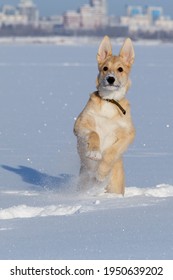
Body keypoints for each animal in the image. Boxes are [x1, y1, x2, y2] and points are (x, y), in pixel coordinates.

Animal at [73, 36, 135, 195]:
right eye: (105, 68)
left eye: (120, 69)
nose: (110, 79)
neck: (109, 101)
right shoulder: (80, 124)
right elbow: (94, 133)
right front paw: (94, 153)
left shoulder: (129, 134)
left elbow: (112, 152)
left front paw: (101, 173)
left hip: (116, 188)